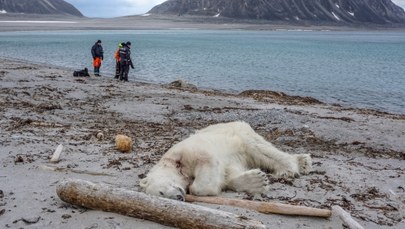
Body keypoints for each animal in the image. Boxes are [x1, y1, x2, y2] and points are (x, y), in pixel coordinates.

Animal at [140, 121, 312, 200]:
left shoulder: (188, 151)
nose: (179, 197)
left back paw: (293, 166)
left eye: (161, 192)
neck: (174, 164)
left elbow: (206, 164)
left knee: (260, 149)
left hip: (239, 133)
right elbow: (229, 174)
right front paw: (257, 181)